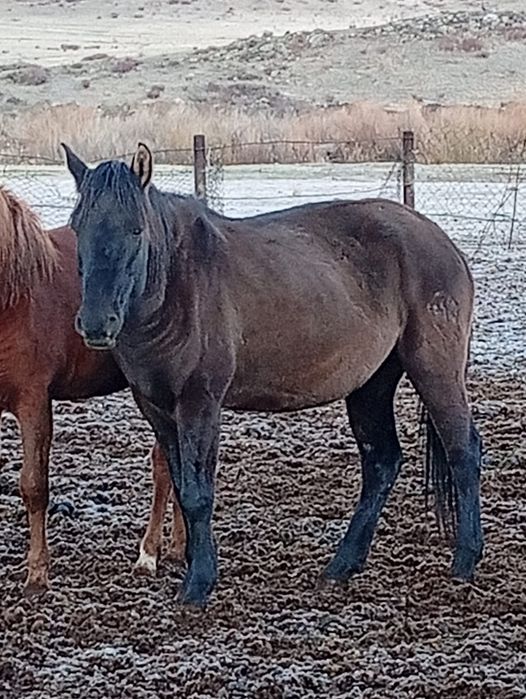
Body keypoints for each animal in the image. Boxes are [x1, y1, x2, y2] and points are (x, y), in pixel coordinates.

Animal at [0, 185, 185, 593]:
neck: (15, 295)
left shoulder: (34, 402)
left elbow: (34, 486)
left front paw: (37, 573)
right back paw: (179, 548)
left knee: (165, 464)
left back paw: (148, 555)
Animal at [64, 142, 483, 607]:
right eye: (77, 227)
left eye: (136, 230)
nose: (96, 324)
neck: (177, 284)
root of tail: (440, 240)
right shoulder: (156, 407)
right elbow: (179, 483)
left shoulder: (200, 404)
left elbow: (197, 494)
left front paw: (198, 584)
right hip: (370, 384)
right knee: (381, 462)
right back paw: (341, 567)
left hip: (435, 368)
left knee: (463, 452)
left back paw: (464, 562)